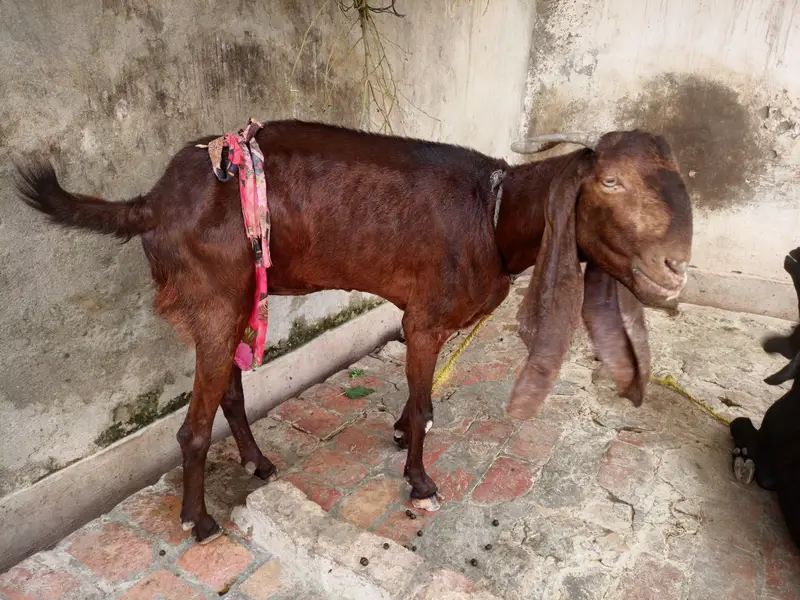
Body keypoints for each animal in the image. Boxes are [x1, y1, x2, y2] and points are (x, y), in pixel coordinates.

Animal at [15, 120, 693, 543]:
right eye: (609, 182)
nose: (675, 266)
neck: (495, 215)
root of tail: (153, 202)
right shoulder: (425, 317)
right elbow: (424, 402)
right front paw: (420, 482)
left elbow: (422, 400)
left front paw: (398, 434)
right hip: (212, 297)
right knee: (193, 425)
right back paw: (199, 521)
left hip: (237, 297)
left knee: (229, 388)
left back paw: (258, 463)